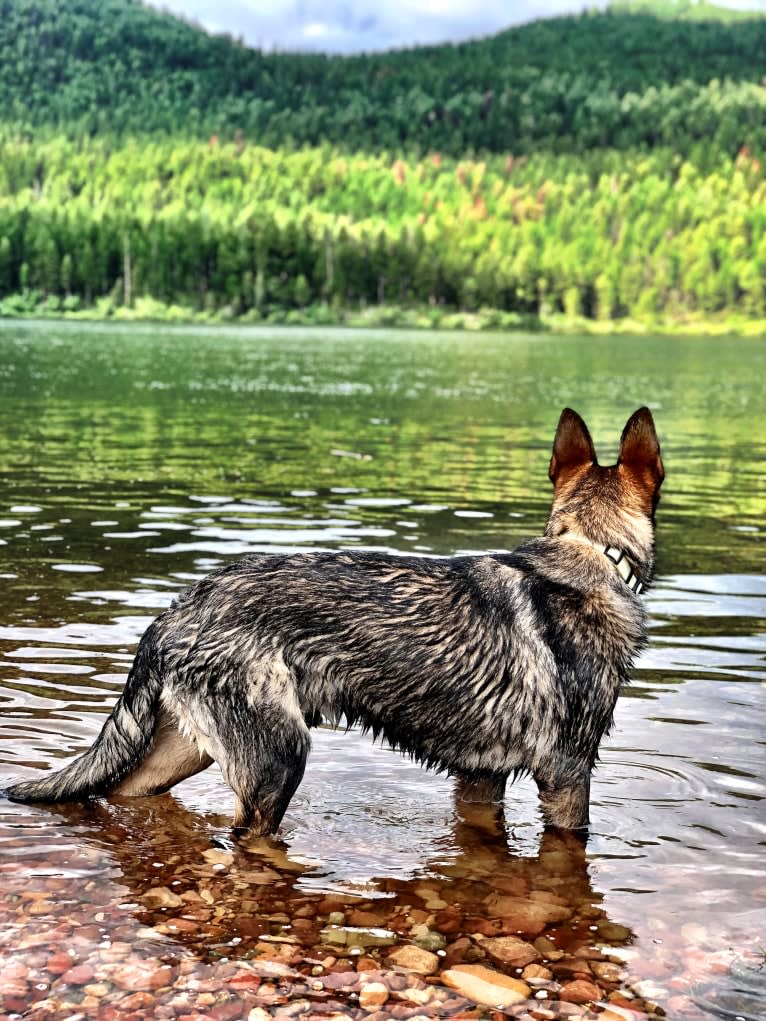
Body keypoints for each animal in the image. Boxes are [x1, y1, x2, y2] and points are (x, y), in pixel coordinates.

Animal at [4, 402, 665, 833]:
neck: (589, 549)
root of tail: (177, 610)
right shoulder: (567, 775)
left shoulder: (480, 778)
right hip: (278, 763)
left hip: (186, 750)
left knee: (120, 793)